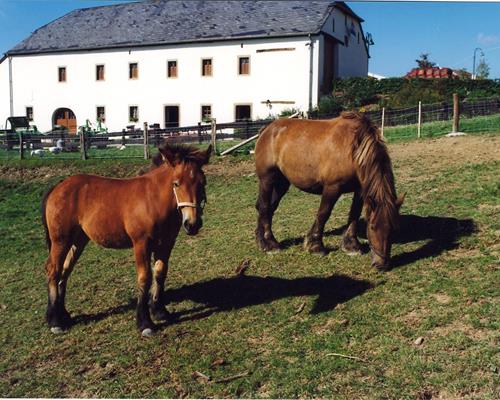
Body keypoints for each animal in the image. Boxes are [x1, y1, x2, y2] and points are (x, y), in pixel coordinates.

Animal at [42, 142, 211, 336]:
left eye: (203, 182)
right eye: (176, 183)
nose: (192, 224)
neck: (152, 201)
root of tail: (58, 186)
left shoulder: (167, 243)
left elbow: (160, 273)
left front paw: (160, 311)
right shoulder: (141, 243)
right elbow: (144, 277)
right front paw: (145, 323)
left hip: (78, 240)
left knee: (65, 270)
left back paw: (63, 315)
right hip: (60, 240)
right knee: (53, 269)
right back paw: (55, 321)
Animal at [256, 111, 404, 270]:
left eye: (394, 228)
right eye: (372, 226)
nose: (381, 264)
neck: (353, 149)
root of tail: (267, 129)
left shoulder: (359, 189)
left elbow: (354, 214)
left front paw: (351, 245)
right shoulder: (332, 187)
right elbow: (323, 214)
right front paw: (315, 246)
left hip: (281, 183)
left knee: (268, 208)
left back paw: (260, 241)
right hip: (267, 179)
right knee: (264, 207)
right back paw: (270, 244)